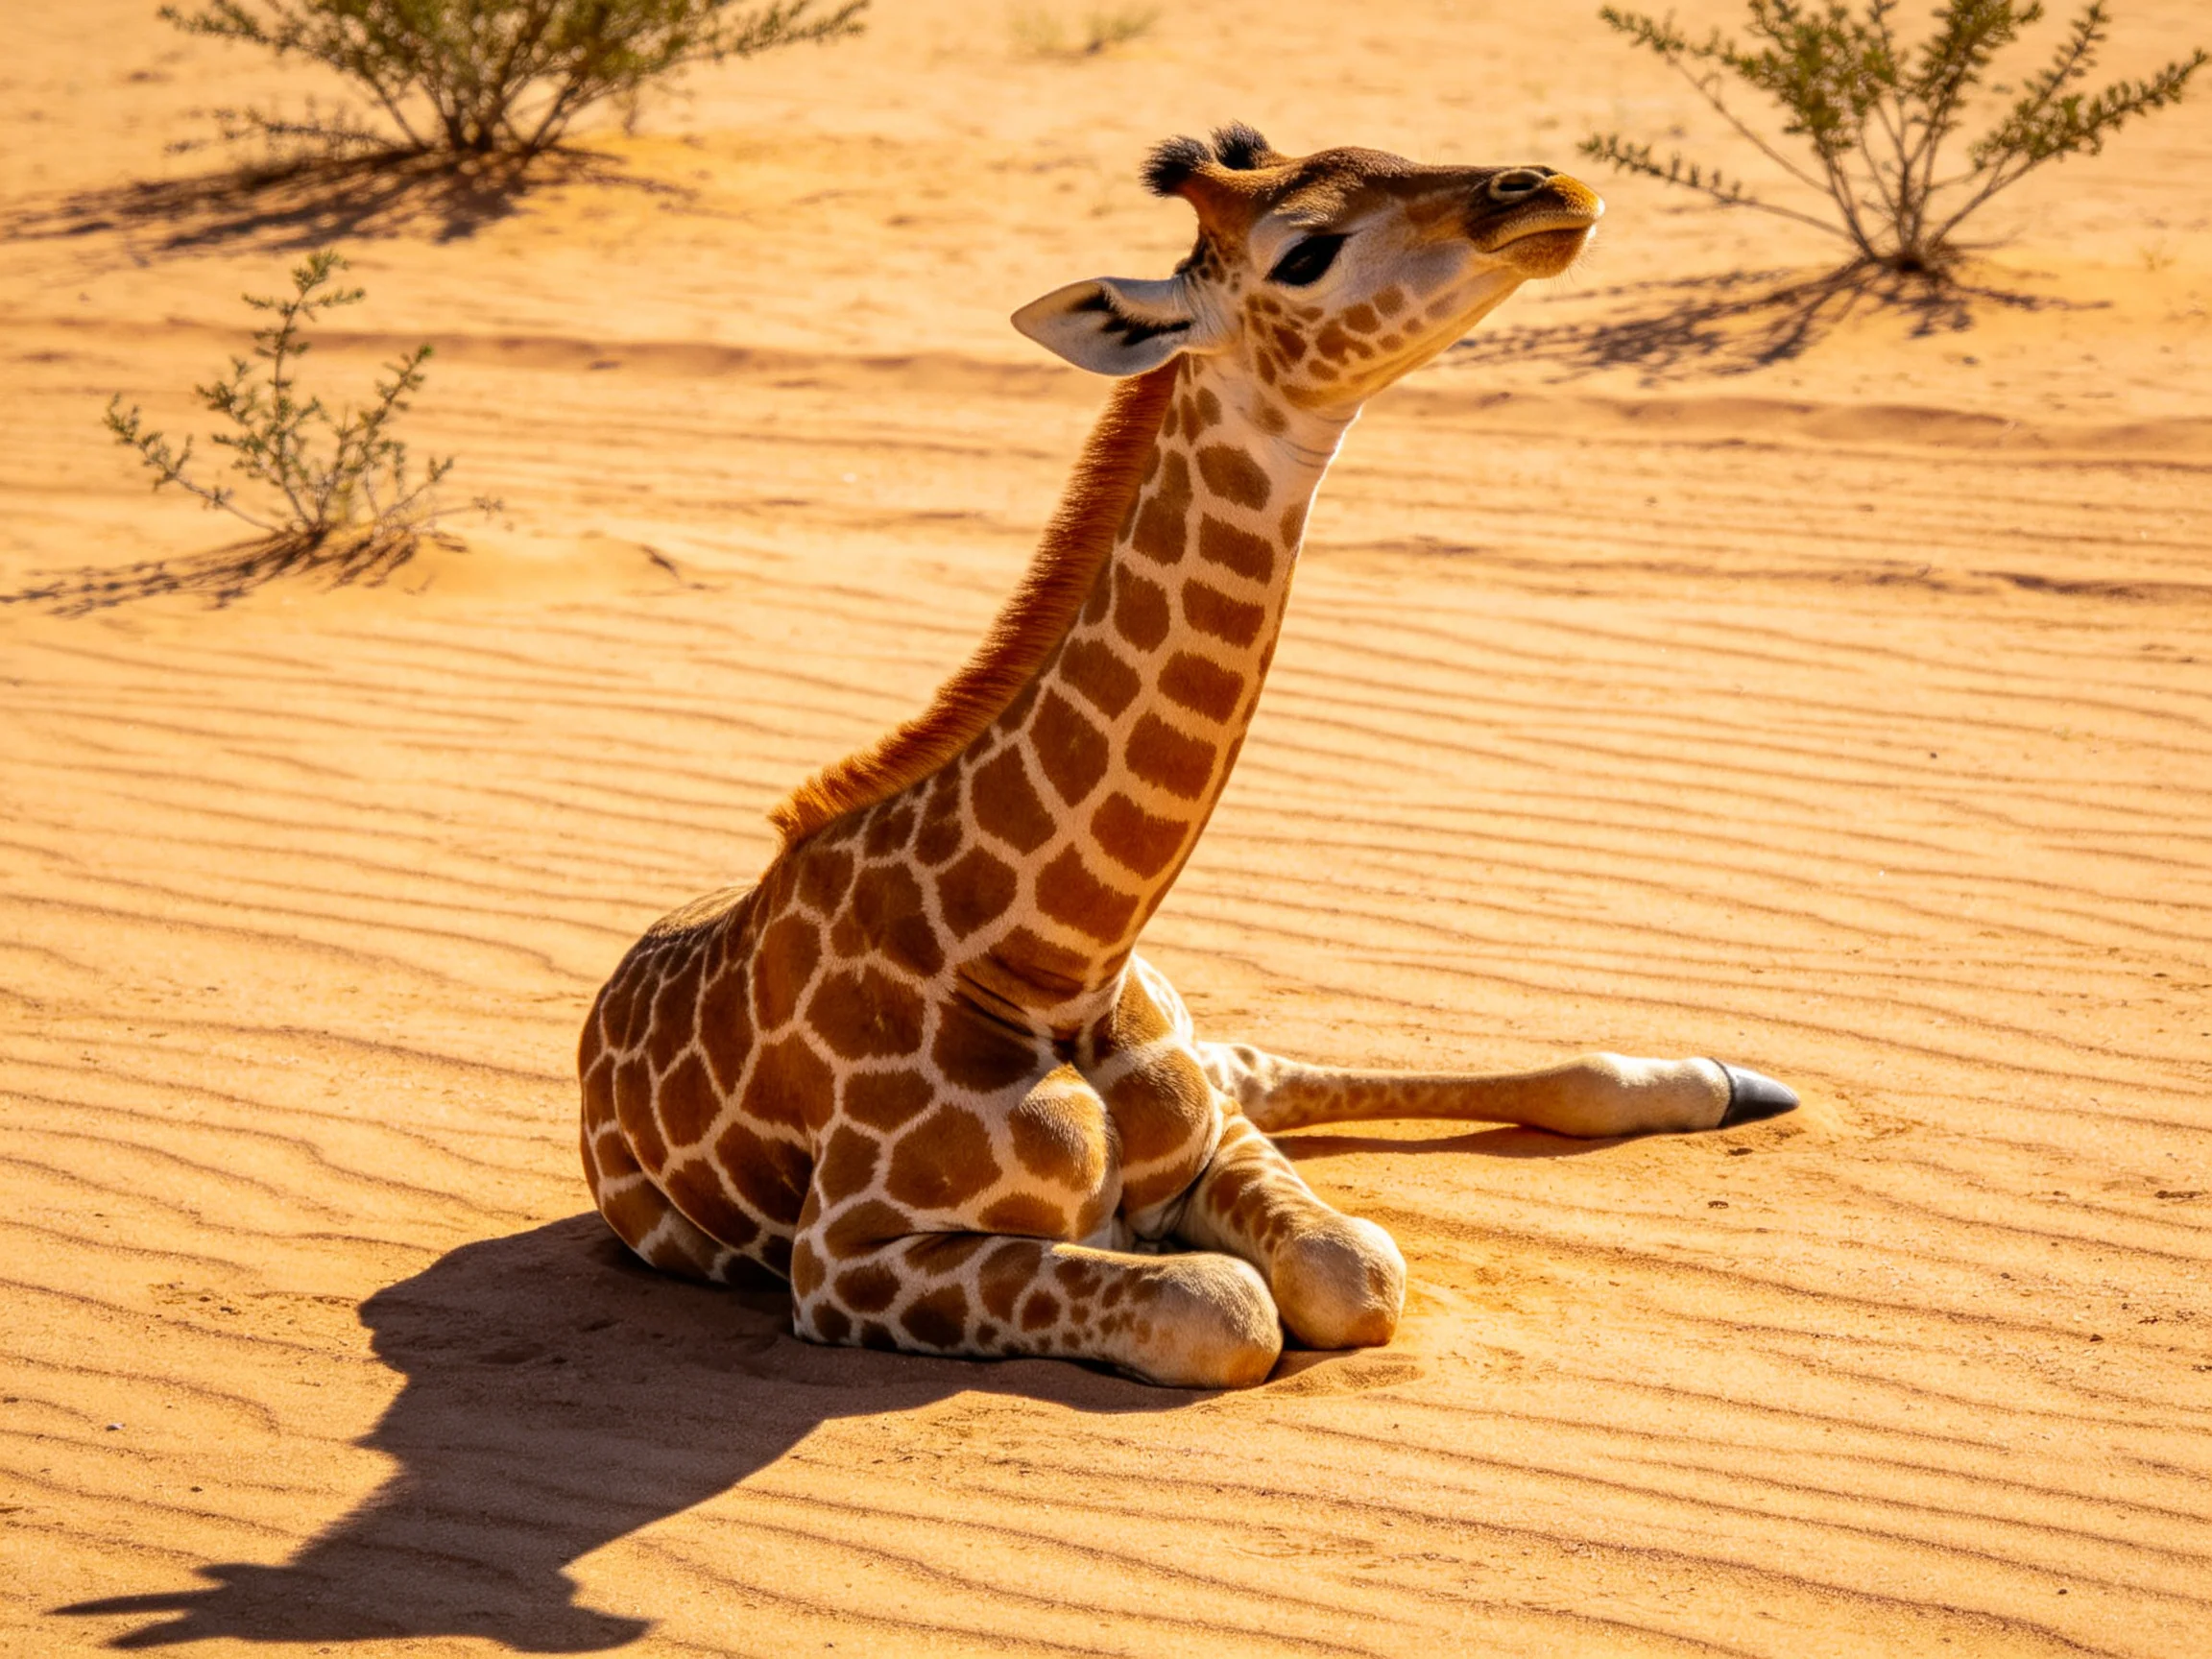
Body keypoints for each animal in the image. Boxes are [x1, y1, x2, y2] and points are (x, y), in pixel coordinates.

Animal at [578, 126, 1798, 1389]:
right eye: (1304, 251)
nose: (1546, 190)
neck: (1052, 956)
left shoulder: (1212, 1138)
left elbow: (1351, 1269)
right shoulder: (842, 1257)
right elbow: (1229, 1308)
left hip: (1200, 1051)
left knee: (1259, 1063)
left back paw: (1724, 1082)